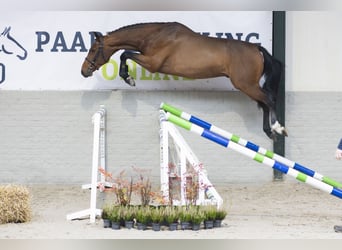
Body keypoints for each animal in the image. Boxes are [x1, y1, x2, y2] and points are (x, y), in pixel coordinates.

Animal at [81, 22, 288, 139]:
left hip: (245, 84)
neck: (154, 35)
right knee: (264, 103)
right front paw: (128, 77)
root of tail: (257, 49)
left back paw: (278, 128)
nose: (84, 71)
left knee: (269, 100)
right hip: (247, 85)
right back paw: (269, 131)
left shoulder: (153, 63)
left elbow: (125, 53)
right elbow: (125, 54)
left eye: (93, 50)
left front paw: (128, 78)